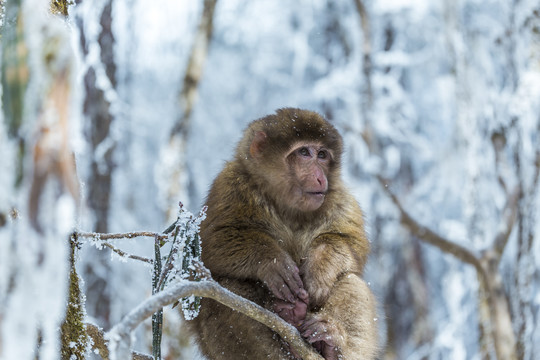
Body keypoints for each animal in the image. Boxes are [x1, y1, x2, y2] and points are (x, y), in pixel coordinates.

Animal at [190, 108, 380, 358]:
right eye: (304, 152)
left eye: (322, 155)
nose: (320, 177)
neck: (290, 208)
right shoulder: (230, 185)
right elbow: (212, 243)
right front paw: (271, 261)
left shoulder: (340, 199)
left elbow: (351, 245)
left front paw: (320, 264)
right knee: (226, 290)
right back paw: (288, 329)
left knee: (349, 279)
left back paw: (330, 343)